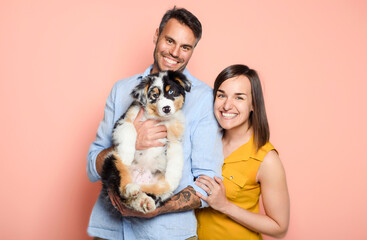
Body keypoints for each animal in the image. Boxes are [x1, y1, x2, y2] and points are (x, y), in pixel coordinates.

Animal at [101, 70, 191, 213]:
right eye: (154, 95)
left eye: (171, 91)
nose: (166, 108)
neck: (157, 119)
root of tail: (140, 180)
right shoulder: (124, 121)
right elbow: (130, 130)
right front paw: (126, 156)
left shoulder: (174, 139)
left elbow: (176, 159)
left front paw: (172, 178)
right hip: (112, 161)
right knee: (122, 191)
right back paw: (132, 188)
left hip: (161, 190)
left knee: (146, 195)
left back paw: (146, 202)